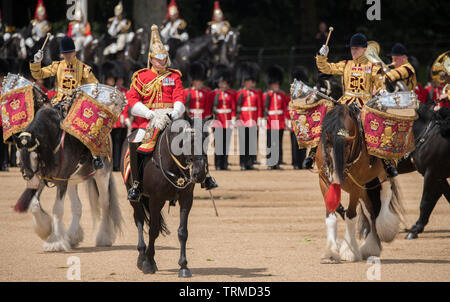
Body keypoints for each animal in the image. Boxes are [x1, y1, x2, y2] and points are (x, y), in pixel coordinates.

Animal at [121, 114, 209, 276]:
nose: (199, 174)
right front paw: (148, 263)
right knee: (139, 220)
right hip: (134, 196)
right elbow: (153, 230)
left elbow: (182, 232)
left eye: (206, 138)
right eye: (186, 141)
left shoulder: (186, 199)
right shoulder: (156, 199)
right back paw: (142, 257)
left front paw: (184, 266)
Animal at [314, 102, 406, 264]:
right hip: (364, 188)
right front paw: (330, 252)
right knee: (370, 211)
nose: (337, 179)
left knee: (385, 194)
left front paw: (349, 251)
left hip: (382, 175)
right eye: (327, 150)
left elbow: (350, 215)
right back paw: (371, 246)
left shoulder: (355, 185)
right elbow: (331, 216)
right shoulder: (324, 181)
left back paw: (384, 229)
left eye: (346, 152)